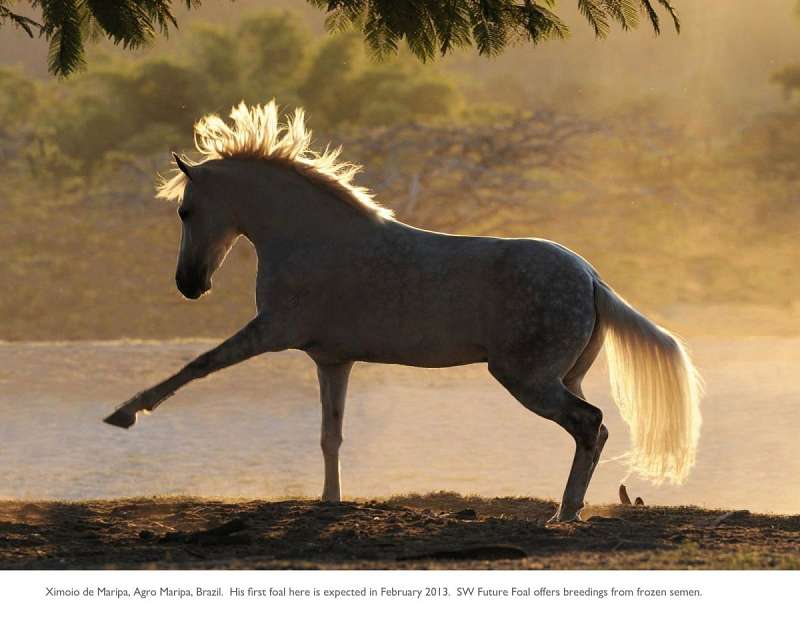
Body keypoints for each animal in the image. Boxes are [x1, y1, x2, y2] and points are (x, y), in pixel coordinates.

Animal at [104, 101, 702, 522]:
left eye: (185, 211)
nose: (189, 285)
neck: (311, 237)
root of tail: (591, 277)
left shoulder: (273, 330)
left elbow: (198, 365)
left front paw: (125, 413)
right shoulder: (331, 360)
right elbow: (330, 434)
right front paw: (330, 499)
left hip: (527, 379)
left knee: (590, 425)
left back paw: (565, 512)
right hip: (562, 376)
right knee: (591, 430)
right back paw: (567, 509)